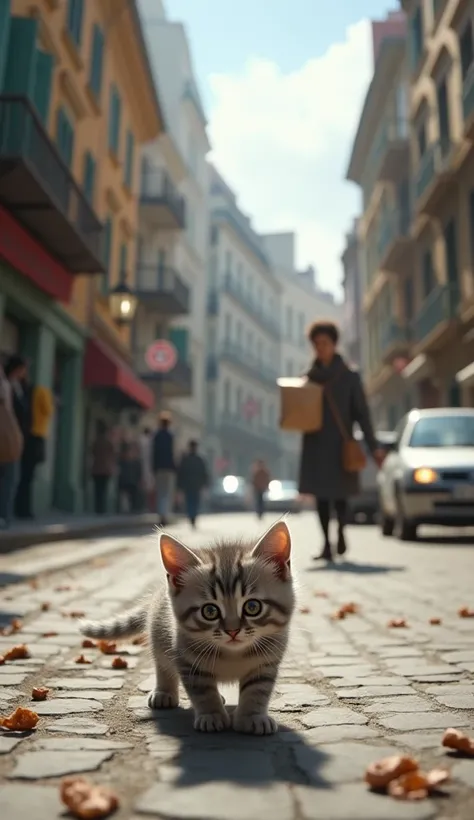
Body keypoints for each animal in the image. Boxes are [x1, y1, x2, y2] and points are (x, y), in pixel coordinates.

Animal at [80, 520, 294, 736]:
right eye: (210, 611)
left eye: (252, 607)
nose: (232, 631)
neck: (232, 654)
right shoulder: (188, 661)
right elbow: (203, 691)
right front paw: (211, 715)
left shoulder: (267, 661)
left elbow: (257, 689)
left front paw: (252, 716)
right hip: (159, 637)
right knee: (162, 665)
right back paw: (164, 692)